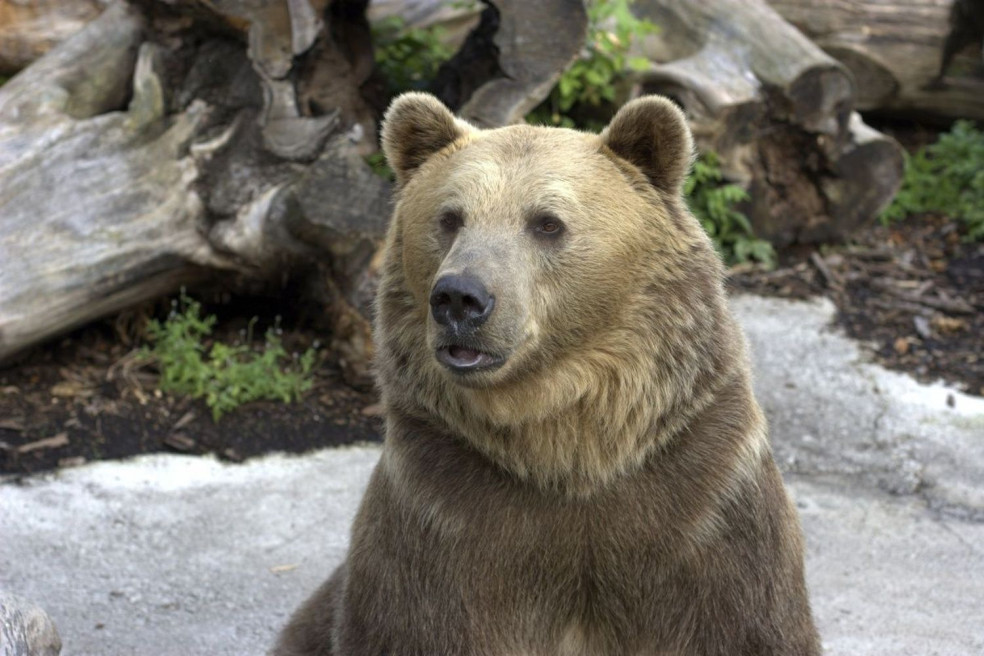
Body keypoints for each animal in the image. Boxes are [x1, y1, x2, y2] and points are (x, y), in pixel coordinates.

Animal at [272, 92, 820, 656]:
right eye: (450, 217)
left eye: (547, 222)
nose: (459, 298)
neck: (564, 446)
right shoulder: (439, 515)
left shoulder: (705, 503)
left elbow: (743, 622)